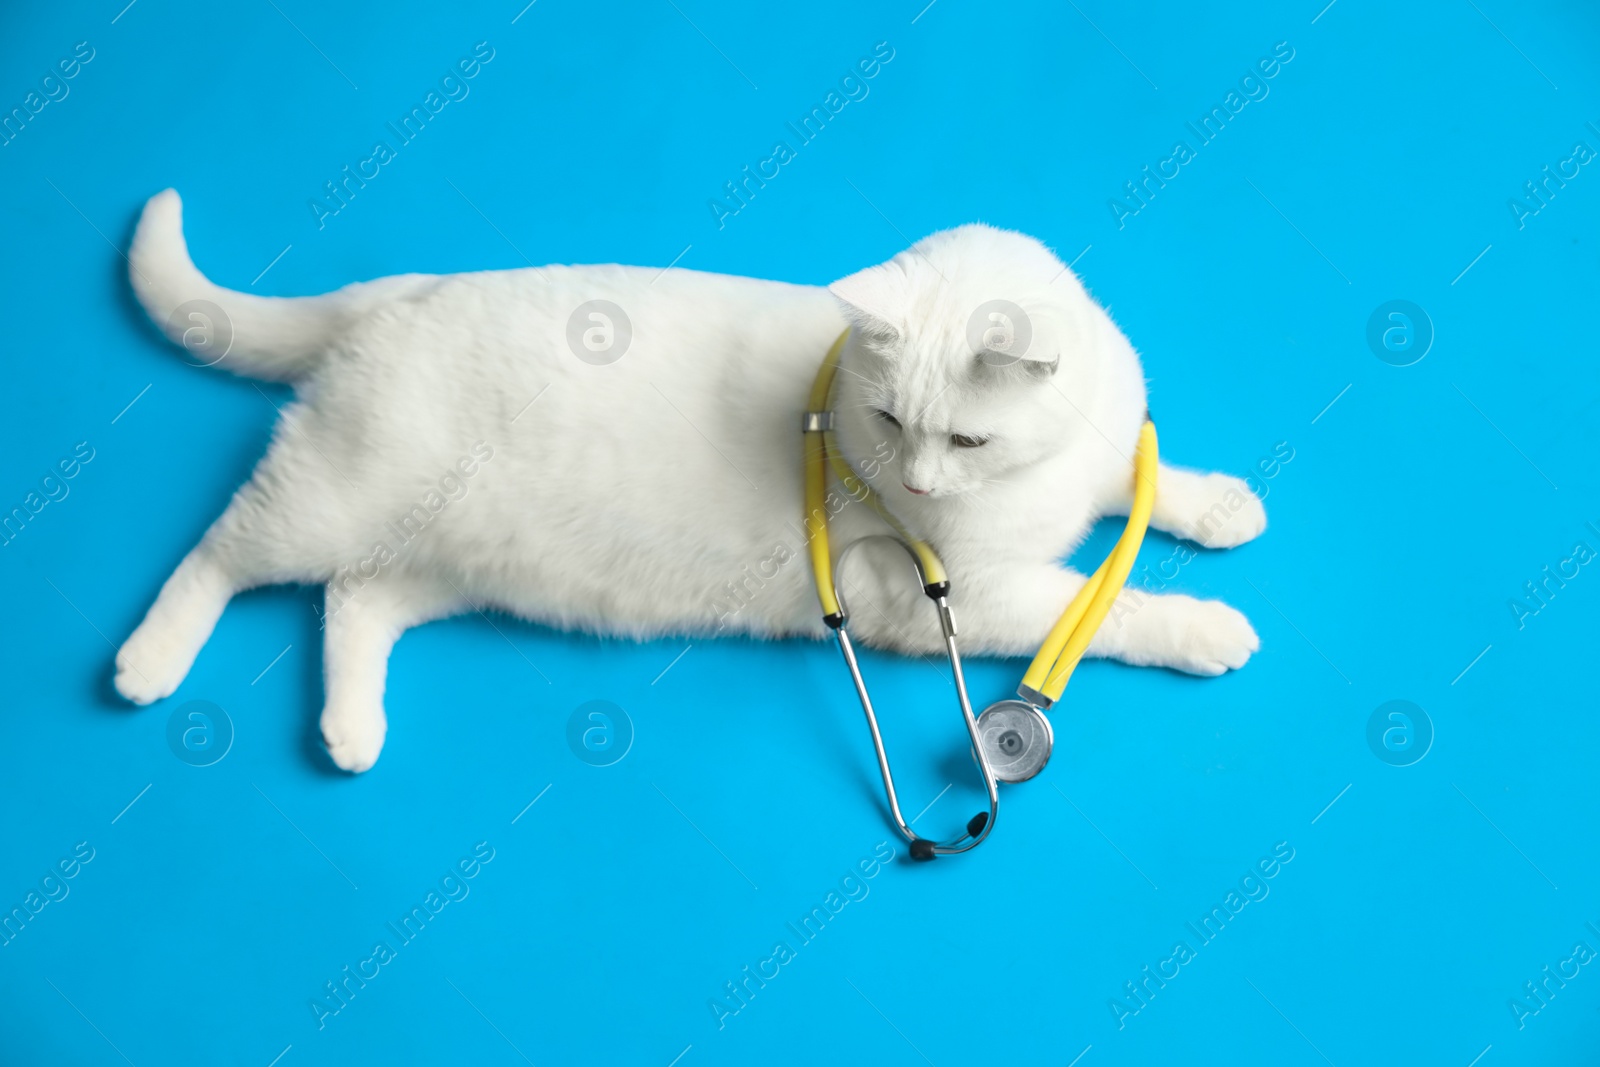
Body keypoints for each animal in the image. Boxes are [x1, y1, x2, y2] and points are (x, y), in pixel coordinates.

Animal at [116, 191, 1260, 771]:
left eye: (967, 440)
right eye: (891, 423)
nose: (923, 486)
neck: (1025, 485)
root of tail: (404, 290)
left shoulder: (1091, 466)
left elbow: (1137, 480)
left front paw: (1218, 503)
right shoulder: (951, 593)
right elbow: (1096, 605)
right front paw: (1206, 626)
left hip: (437, 564)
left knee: (354, 601)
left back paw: (351, 735)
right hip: (327, 501)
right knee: (219, 553)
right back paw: (148, 662)